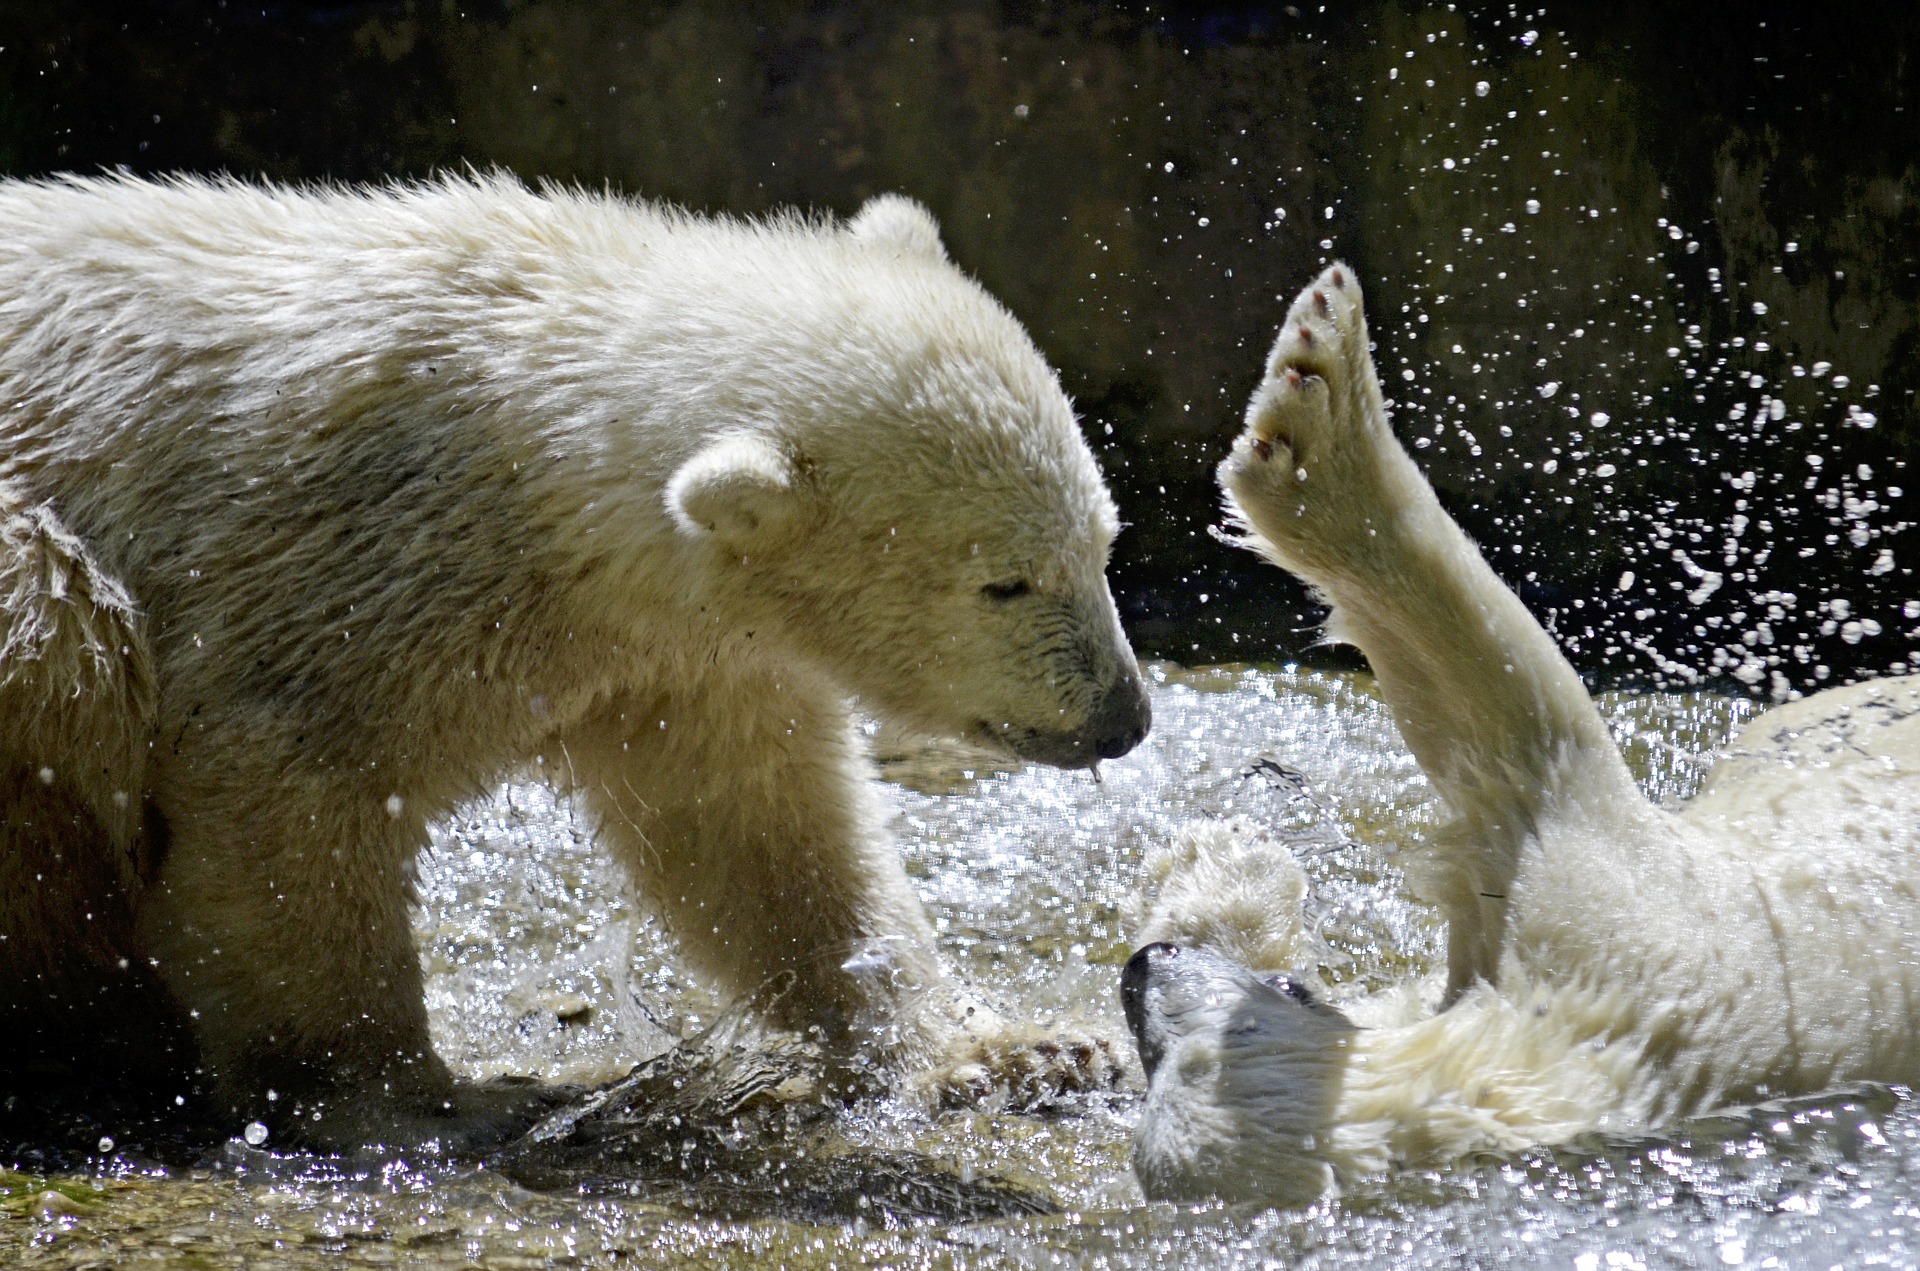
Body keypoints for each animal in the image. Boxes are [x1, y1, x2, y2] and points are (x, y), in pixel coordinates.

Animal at [0, 173, 1150, 1145]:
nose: (1124, 718)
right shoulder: (339, 570)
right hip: (41, 584)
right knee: (64, 631)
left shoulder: (681, 652)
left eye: (1102, 540)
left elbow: (763, 830)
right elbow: (282, 795)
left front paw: (1026, 1048)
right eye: (1004, 582)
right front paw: (421, 1099)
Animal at [1120, 263, 1920, 1206]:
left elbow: (1520, 727)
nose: (1142, 970)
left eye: (1202, 1050)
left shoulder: (1614, 938)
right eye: (1155, 1060)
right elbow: (1525, 741)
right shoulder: (1614, 949)